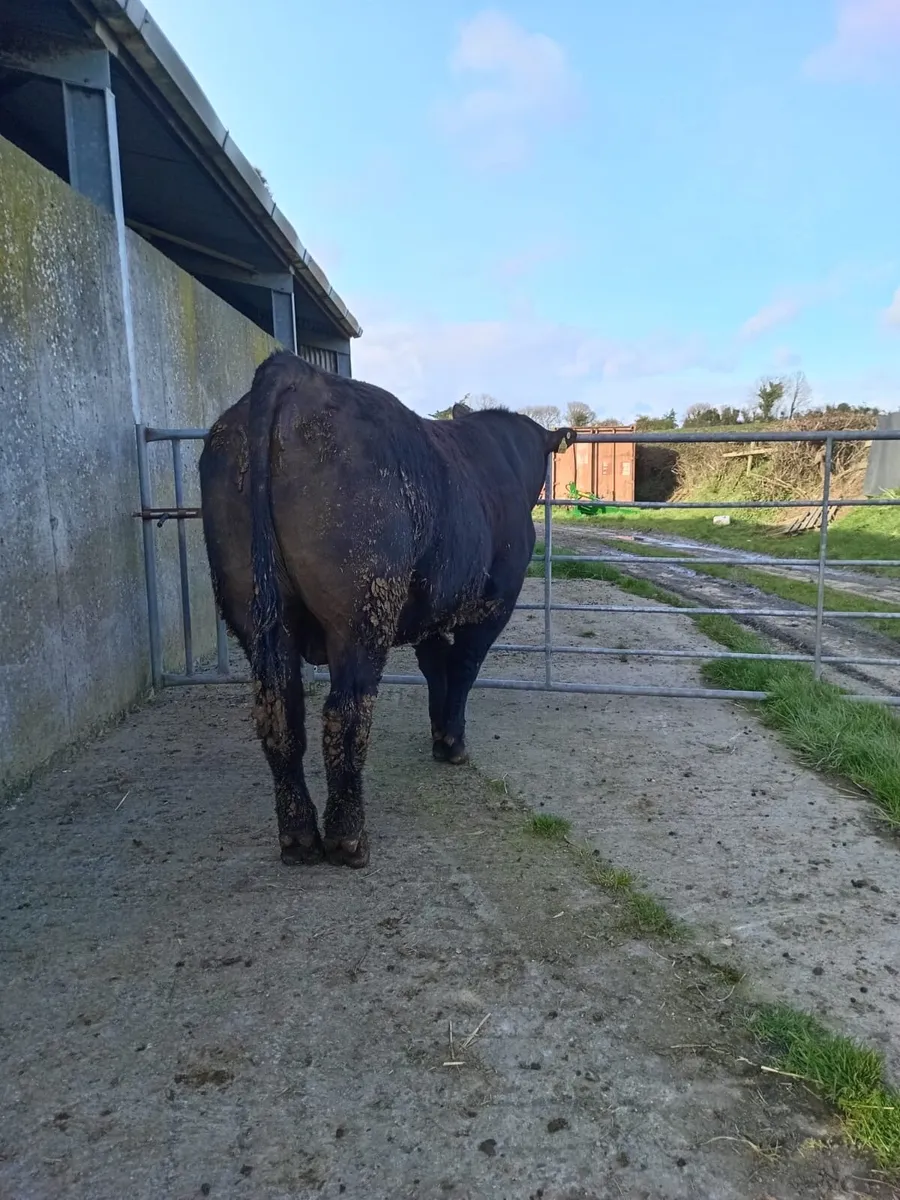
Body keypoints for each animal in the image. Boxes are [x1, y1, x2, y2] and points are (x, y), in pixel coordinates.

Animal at [198, 350, 575, 869]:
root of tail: (295, 370)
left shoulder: (430, 609)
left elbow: (435, 668)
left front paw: (439, 733)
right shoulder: (495, 600)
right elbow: (463, 669)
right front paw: (453, 742)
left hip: (253, 608)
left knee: (280, 711)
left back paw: (298, 837)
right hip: (361, 610)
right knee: (346, 713)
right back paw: (348, 838)